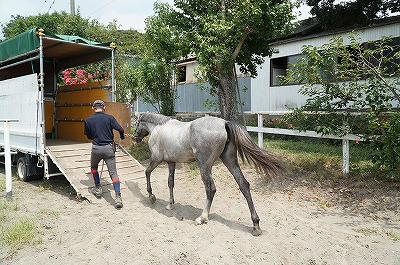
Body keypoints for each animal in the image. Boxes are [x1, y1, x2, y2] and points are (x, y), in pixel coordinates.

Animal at [133, 112, 282, 235]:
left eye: (137, 123)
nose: (135, 137)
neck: (159, 127)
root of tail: (224, 123)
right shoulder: (171, 162)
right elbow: (170, 183)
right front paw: (170, 204)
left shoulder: (156, 159)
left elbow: (147, 172)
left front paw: (151, 196)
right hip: (230, 161)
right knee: (244, 185)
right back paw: (256, 226)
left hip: (204, 166)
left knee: (211, 189)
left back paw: (202, 217)